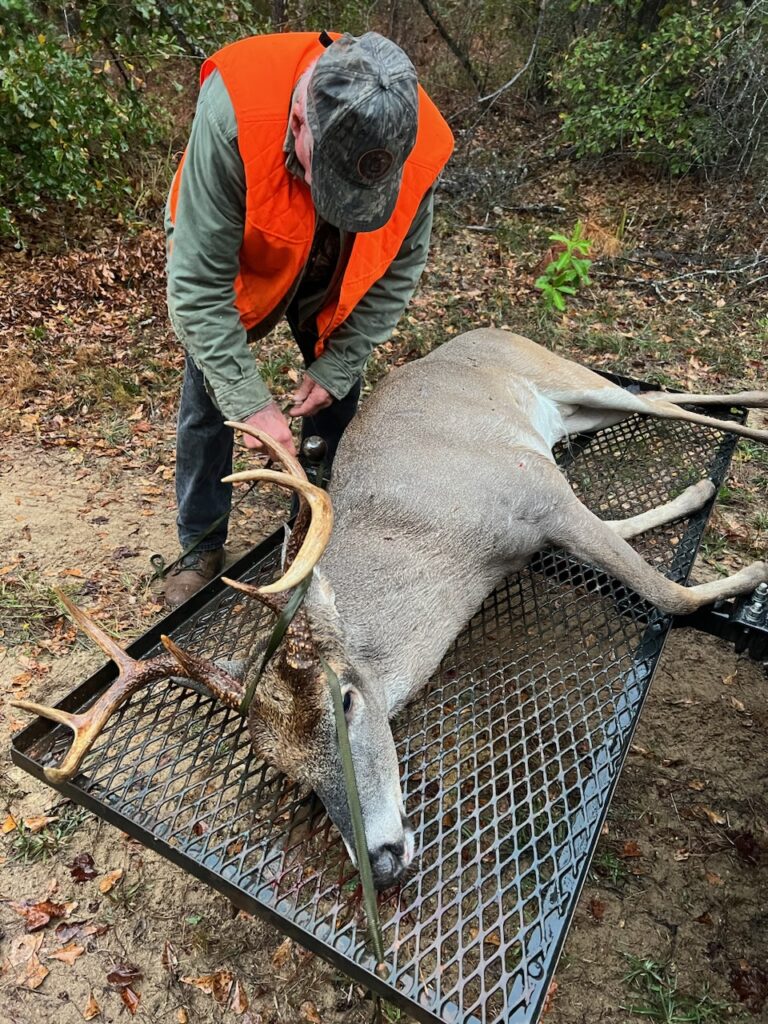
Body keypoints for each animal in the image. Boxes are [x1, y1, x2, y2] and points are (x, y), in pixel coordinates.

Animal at [13, 328, 768, 890]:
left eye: (345, 701)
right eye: (289, 773)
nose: (379, 864)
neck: (444, 541)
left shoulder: (536, 491)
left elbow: (665, 590)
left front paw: (750, 569)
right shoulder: (537, 517)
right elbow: (623, 536)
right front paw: (698, 496)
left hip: (559, 373)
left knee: (671, 402)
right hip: (571, 408)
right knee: (658, 395)